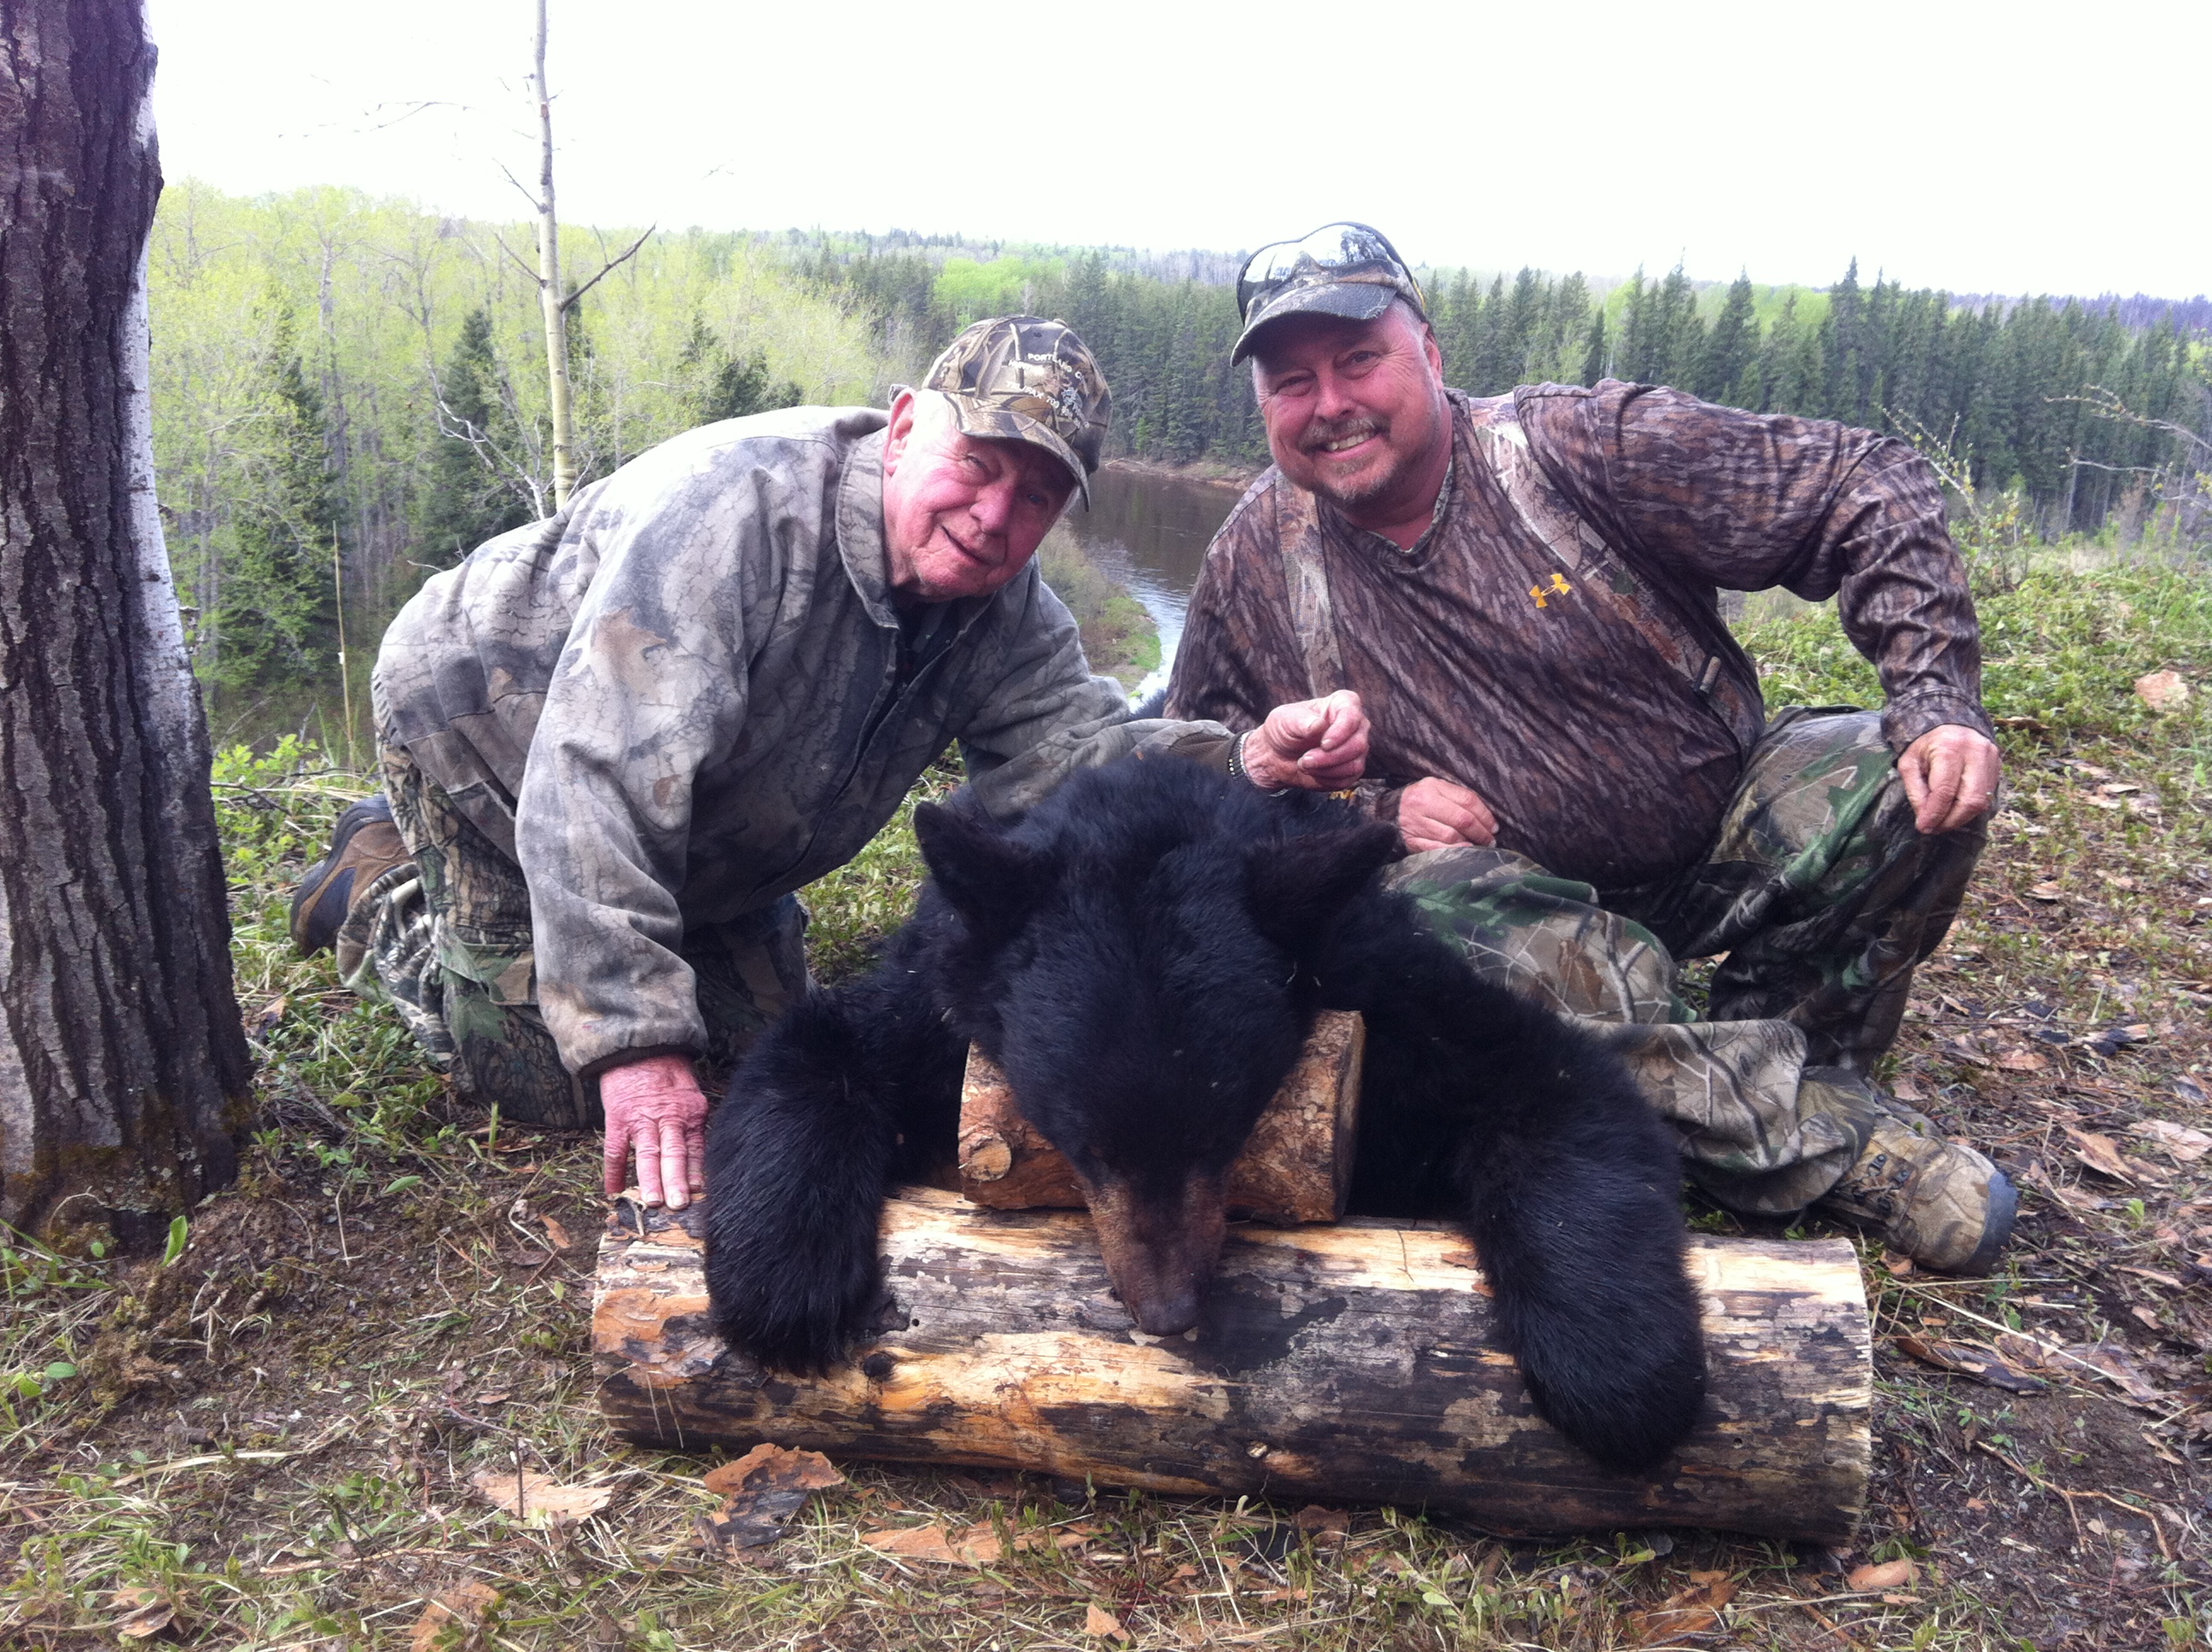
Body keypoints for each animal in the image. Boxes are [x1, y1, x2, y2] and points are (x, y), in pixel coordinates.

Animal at [702, 755, 1707, 1474]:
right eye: (1086, 1146)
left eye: (1224, 1130)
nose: (1168, 1311)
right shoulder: (941, 1001)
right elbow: (818, 1047)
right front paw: (781, 1284)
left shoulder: (1394, 995)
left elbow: (1552, 1083)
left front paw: (1623, 1375)